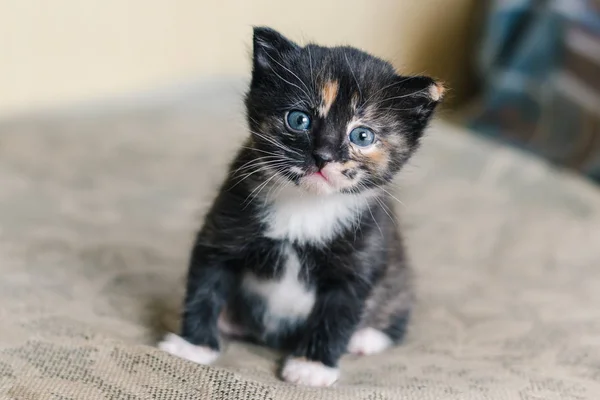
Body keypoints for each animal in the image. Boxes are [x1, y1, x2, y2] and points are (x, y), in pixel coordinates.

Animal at [157, 26, 442, 386]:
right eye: (299, 119)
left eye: (362, 136)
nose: (323, 156)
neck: (308, 205)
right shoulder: (224, 225)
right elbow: (205, 285)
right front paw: (193, 347)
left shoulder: (362, 253)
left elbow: (338, 314)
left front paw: (312, 366)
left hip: (398, 275)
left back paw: (367, 337)